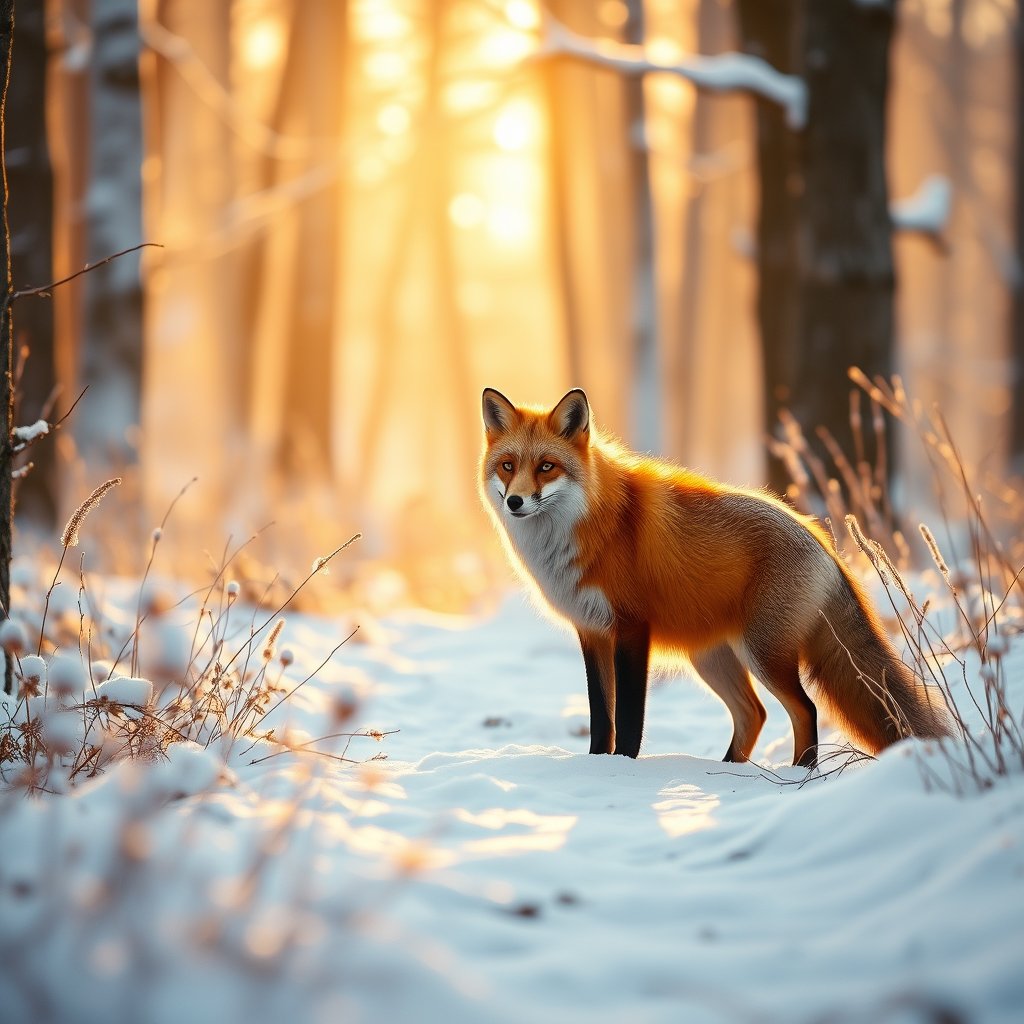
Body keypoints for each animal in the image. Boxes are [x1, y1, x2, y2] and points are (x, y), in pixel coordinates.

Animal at [479, 386, 951, 767]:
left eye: (546, 467)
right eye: (507, 466)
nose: (516, 502)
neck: (588, 526)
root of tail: (823, 542)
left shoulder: (631, 628)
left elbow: (629, 716)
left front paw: (623, 769)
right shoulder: (592, 630)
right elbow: (601, 715)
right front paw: (596, 765)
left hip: (763, 653)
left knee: (804, 709)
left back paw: (800, 773)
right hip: (711, 658)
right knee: (754, 714)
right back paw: (729, 771)